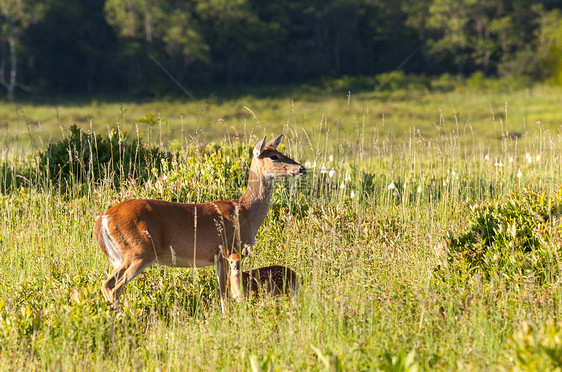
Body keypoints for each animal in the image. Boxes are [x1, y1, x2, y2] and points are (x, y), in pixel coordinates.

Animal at [92, 134, 304, 310]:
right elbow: (225, 294)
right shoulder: (226, 250)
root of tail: (103, 217)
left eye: (281, 152)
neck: (245, 212)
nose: (302, 168)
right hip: (139, 251)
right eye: (274, 156)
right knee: (110, 286)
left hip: (120, 256)